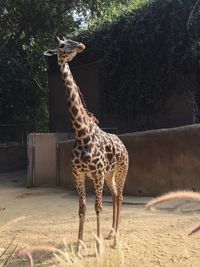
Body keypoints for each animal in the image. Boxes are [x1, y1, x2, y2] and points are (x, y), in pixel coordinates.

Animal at [43, 37, 128, 251]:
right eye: (62, 45)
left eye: (71, 41)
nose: (80, 45)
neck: (81, 133)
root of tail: (123, 144)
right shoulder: (78, 175)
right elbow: (82, 208)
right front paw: (79, 245)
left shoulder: (96, 174)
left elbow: (98, 207)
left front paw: (97, 246)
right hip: (109, 174)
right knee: (114, 196)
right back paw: (111, 233)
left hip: (121, 169)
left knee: (120, 197)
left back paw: (116, 239)